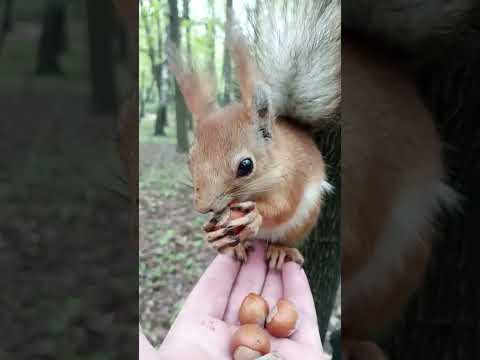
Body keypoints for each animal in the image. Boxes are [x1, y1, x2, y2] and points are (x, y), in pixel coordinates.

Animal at [169, 0, 342, 270]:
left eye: (246, 166)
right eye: (190, 160)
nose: (203, 207)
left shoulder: (292, 178)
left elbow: (283, 207)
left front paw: (255, 215)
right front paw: (210, 234)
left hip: (306, 218)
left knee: (287, 236)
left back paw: (280, 249)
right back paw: (235, 245)